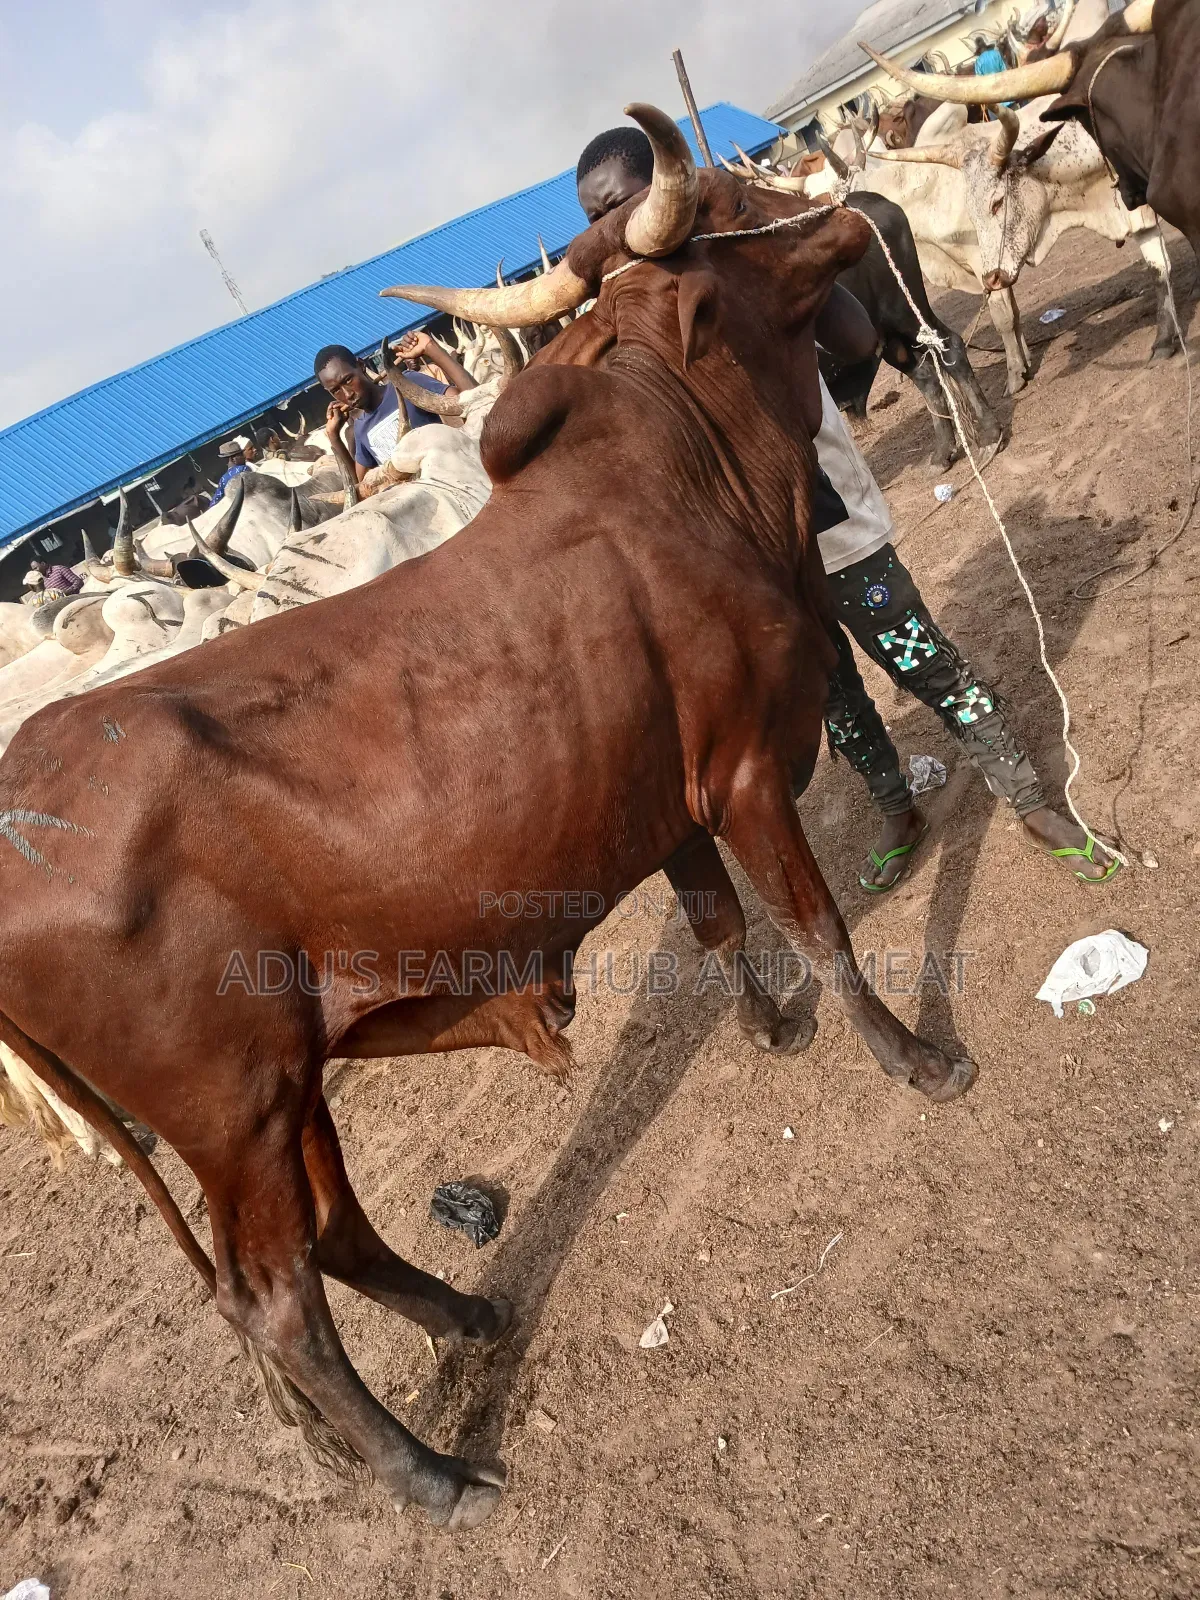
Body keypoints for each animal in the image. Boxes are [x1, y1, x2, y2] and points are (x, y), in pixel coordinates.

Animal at [0, 105, 974, 1533]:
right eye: (726, 208)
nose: (843, 207)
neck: (697, 470)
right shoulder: (744, 769)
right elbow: (821, 926)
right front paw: (912, 1058)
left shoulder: (669, 800)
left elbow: (720, 924)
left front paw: (770, 1028)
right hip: (232, 1110)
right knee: (273, 1301)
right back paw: (434, 1475)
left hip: (290, 1086)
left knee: (337, 1239)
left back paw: (468, 1313)